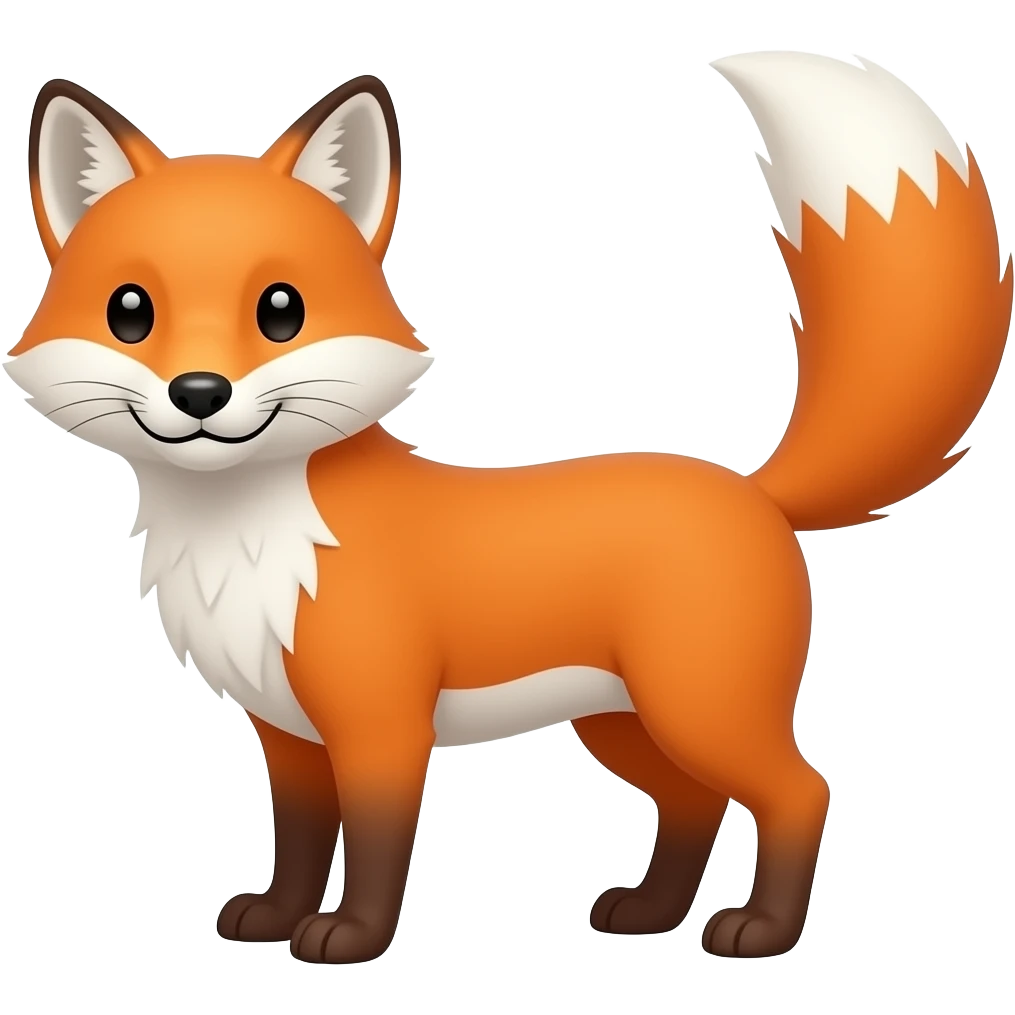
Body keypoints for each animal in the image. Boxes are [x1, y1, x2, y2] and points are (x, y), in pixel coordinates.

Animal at [4, 54, 1011, 965]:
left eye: (280, 310)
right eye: (130, 311)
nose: (200, 392)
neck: (245, 541)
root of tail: (751, 487)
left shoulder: (380, 725)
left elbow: (374, 848)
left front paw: (350, 938)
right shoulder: (285, 734)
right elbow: (298, 841)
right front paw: (276, 917)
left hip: (699, 709)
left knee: (801, 790)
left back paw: (759, 932)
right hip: (622, 723)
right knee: (693, 802)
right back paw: (649, 913)